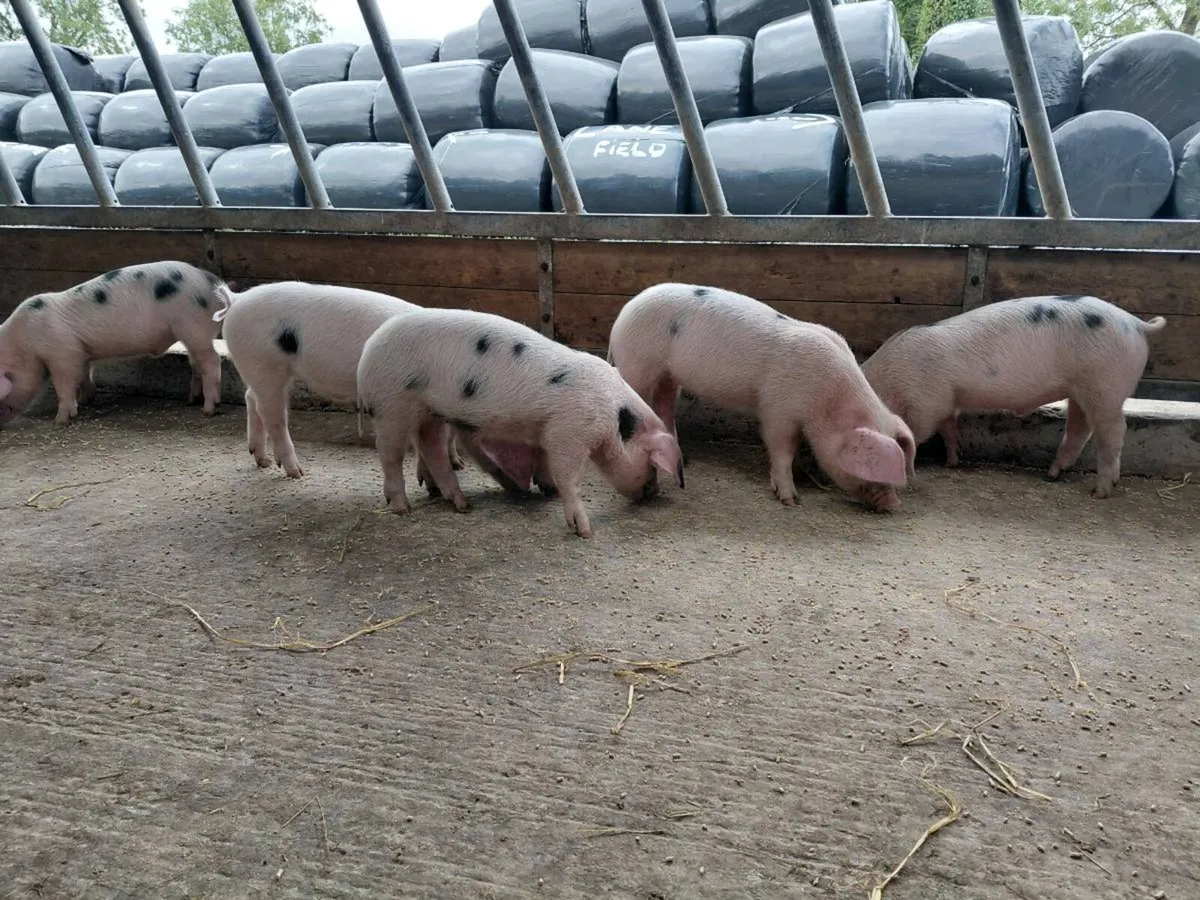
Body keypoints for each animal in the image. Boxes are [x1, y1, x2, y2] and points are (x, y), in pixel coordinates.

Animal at [0, 261, 227, 428]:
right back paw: (191, 400)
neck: (23, 344)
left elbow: (63, 385)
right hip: (191, 334)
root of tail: (211, 280)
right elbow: (85, 374)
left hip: (193, 326)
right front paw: (87, 399)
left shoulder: (63, 353)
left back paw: (208, 410)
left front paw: (61, 421)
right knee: (196, 363)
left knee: (212, 361)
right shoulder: (81, 352)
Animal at [215, 281, 464, 482]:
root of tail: (236, 300)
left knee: (251, 399)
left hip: (261, 370)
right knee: (272, 415)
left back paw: (263, 461)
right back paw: (296, 472)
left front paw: (457, 464)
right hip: (264, 364)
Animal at [356, 307, 685, 538]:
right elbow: (568, 477)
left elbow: (543, 461)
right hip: (392, 404)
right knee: (389, 454)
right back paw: (403, 509)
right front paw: (585, 531)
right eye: (652, 463)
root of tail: (368, 348)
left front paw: (546, 489)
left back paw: (462, 505)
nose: (652, 493)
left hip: (430, 411)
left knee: (431, 447)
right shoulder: (568, 433)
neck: (612, 418)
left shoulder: (544, 432)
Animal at [607, 283, 915, 511]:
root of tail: (622, 316)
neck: (828, 400)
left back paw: (687, 459)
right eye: (873, 463)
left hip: (668, 376)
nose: (894, 503)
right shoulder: (778, 410)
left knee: (664, 407)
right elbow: (781, 450)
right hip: (638, 365)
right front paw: (791, 501)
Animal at [861, 294, 1168, 498]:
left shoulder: (927, 402)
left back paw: (1100, 491)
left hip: (1105, 386)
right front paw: (952, 461)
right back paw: (1052, 474)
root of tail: (1136, 324)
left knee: (1113, 431)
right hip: (1081, 390)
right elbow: (949, 429)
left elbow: (917, 432)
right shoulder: (947, 403)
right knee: (1080, 429)